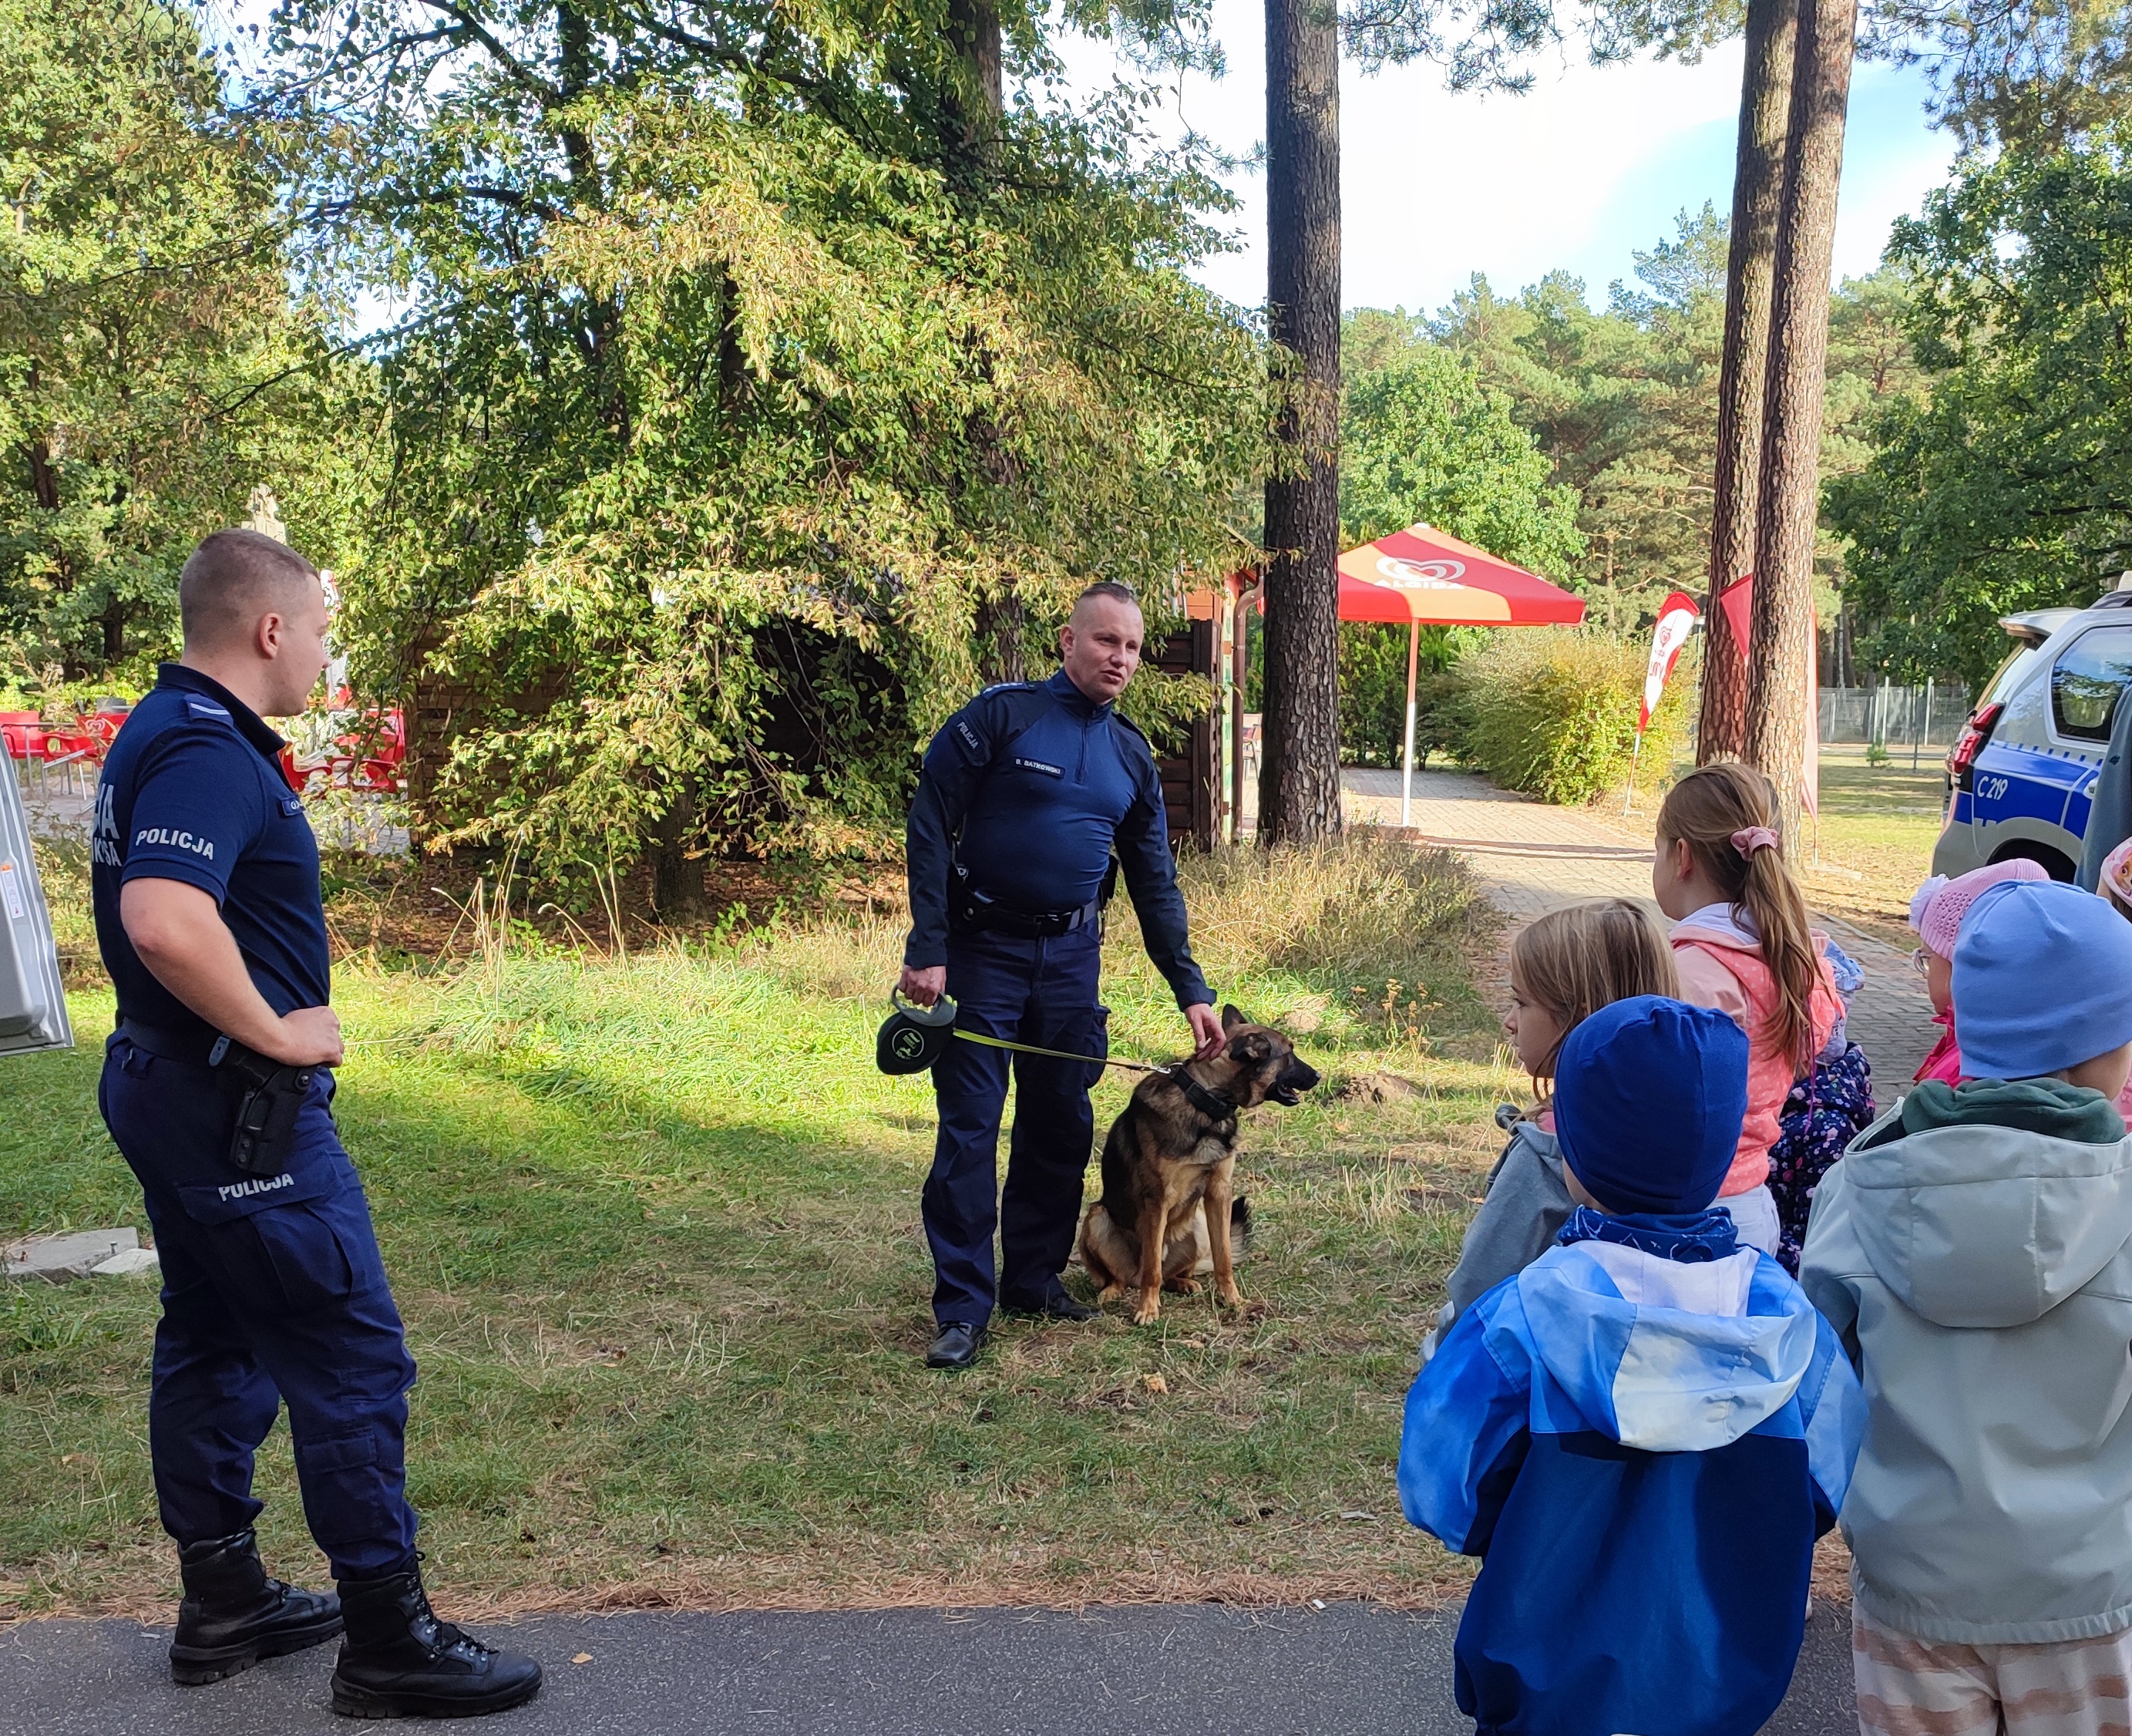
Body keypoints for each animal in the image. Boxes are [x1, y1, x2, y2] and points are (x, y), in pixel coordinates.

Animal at [1083, 1011, 1313, 1322]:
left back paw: (1184, 1283)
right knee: (1127, 1275)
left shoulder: (1219, 1193)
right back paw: (1113, 1291)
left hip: (1200, 1227)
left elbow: (1223, 1258)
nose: (1318, 1075)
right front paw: (1147, 1309)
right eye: (1289, 1054)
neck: (1206, 1101)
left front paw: (1234, 1301)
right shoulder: (1158, 1199)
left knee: (1171, 1275)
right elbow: (1152, 1269)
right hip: (1097, 1218)